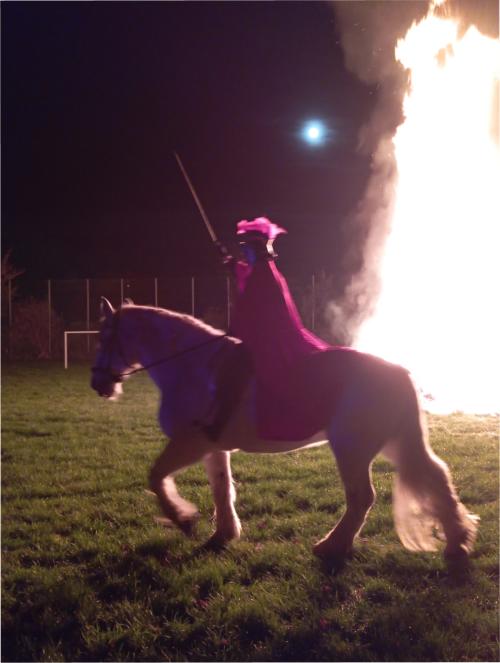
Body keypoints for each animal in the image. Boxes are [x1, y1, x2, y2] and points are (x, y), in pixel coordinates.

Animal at [91, 297, 478, 566]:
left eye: (104, 338)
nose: (98, 385)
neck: (191, 367)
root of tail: (398, 371)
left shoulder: (191, 443)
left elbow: (156, 477)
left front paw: (182, 519)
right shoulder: (214, 447)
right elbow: (221, 489)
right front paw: (223, 534)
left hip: (351, 448)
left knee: (362, 498)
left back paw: (331, 547)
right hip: (394, 443)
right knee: (436, 477)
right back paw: (457, 542)